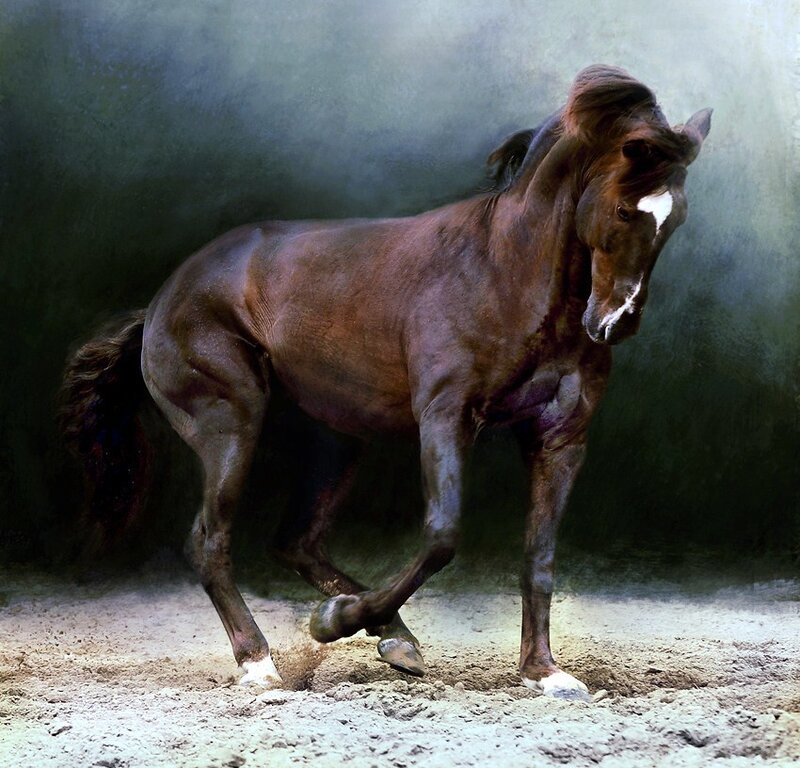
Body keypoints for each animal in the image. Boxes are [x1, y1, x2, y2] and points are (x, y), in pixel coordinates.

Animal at [60, 65, 711, 700]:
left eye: (674, 217)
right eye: (625, 208)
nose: (615, 323)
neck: (505, 273)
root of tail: (159, 303)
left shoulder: (560, 438)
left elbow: (540, 554)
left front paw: (544, 672)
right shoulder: (446, 417)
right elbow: (442, 536)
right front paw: (332, 622)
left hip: (335, 438)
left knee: (295, 541)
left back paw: (393, 638)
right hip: (231, 425)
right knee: (209, 542)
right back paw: (262, 664)